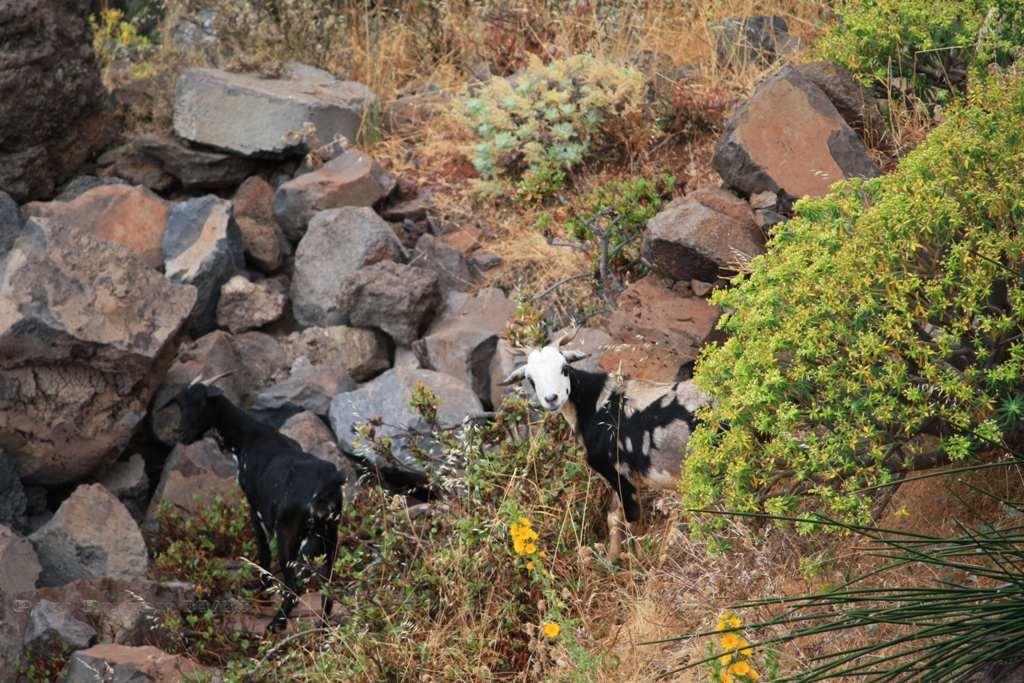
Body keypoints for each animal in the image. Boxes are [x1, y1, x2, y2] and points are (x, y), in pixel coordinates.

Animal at [161, 374, 346, 634]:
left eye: (201, 404)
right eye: (180, 404)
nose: (182, 435)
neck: (248, 437)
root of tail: (329, 483)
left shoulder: (255, 506)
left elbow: (263, 551)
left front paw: (262, 594)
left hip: (290, 533)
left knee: (294, 583)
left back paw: (275, 625)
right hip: (330, 533)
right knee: (327, 579)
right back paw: (322, 626)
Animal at [499, 331, 708, 561]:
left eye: (564, 367)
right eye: (530, 378)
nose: (551, 398)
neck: (597, 405)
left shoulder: (618, 473)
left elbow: (635, 524)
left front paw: (637, 561)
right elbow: (613, 517)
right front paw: (611, 558)